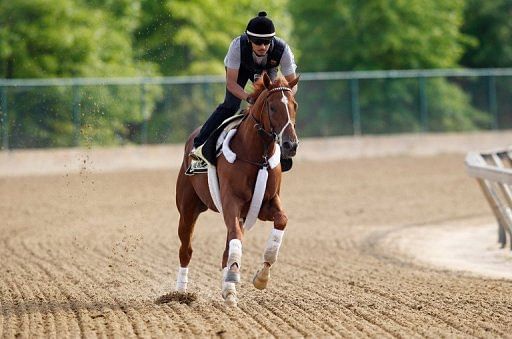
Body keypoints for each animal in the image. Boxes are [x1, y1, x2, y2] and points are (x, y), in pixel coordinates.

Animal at [175, 73, 300, 306]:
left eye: (294, 105)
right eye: (272, 107)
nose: (291, 145)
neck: (256, 157)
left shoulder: (266, 203)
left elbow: (281, 221)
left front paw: (262, 276)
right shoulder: (231, 202)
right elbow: (235, 237)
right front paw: (233, 276)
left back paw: (228, 290)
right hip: (187, 208)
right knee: (186, 249)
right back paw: (180, 293)